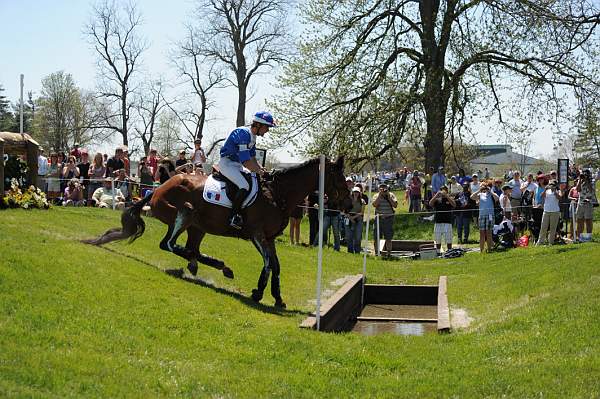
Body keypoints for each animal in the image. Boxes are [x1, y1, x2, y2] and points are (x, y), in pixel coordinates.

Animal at [82, 157, 350, 310]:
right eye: (338, 177)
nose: (347, 203)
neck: (277, 194)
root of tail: (157, 189)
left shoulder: (270, 239)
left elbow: (276, 266)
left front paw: (277, 297)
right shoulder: (257, 235)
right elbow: (267, 264)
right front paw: (258, 293)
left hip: (197, 227)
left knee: (192, 249)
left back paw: (216, 266)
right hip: (185, 214)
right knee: (168, 244)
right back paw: (195, 264)